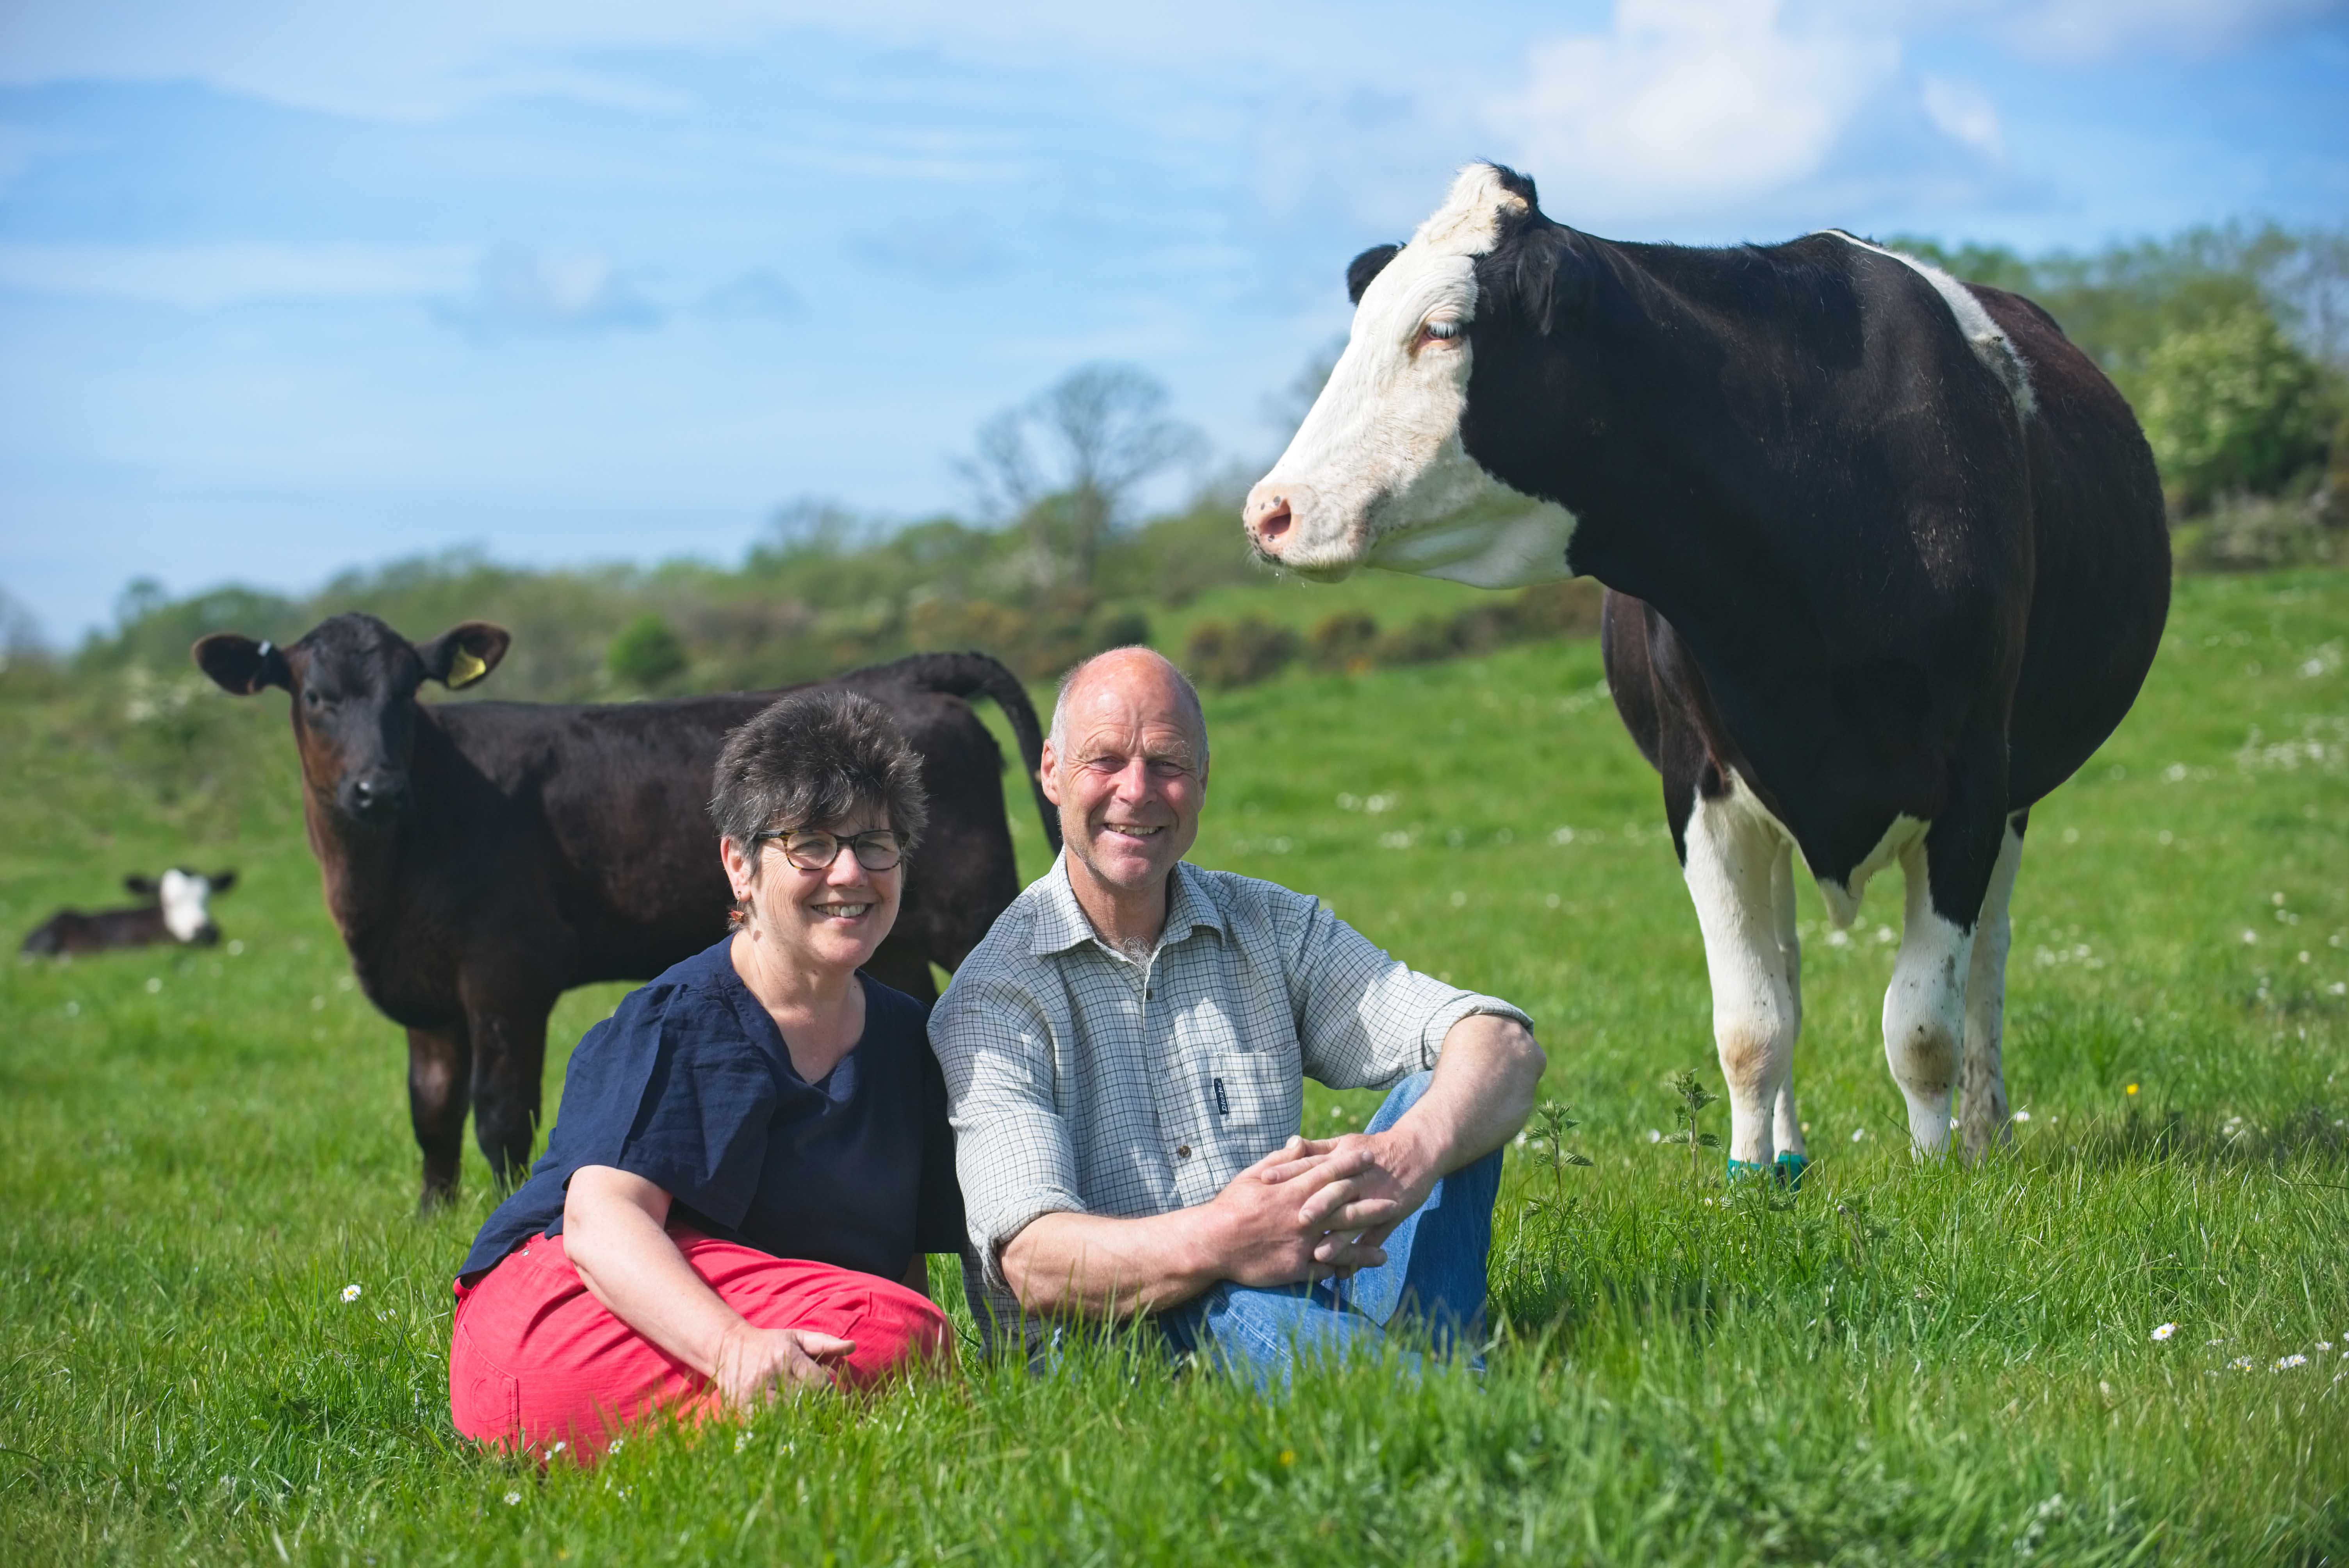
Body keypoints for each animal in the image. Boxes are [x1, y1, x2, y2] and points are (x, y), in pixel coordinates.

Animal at [197, 620, 1062, 1211]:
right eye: (316, 697)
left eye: (408, 691)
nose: (377, 788)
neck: (381, 888)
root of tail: (900, 672)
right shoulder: (427, 995)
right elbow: (432, 1112)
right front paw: (431, 1216)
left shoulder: (508, 971)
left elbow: (500, 1113)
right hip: (892, 942)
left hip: (972, 905)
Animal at [1249, 165, 2161, 1169]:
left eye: (1441, 329)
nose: (1270, 510)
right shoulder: (1698, 782)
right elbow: (1751, 1021)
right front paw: (1749, 1171)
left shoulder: (1972, 781)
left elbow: (1922, 1022)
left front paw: (1936, 1173)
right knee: (1788, 969)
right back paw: (1791, 1153)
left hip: (2013, 791)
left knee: (1987, 962)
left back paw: (1984, 1132)